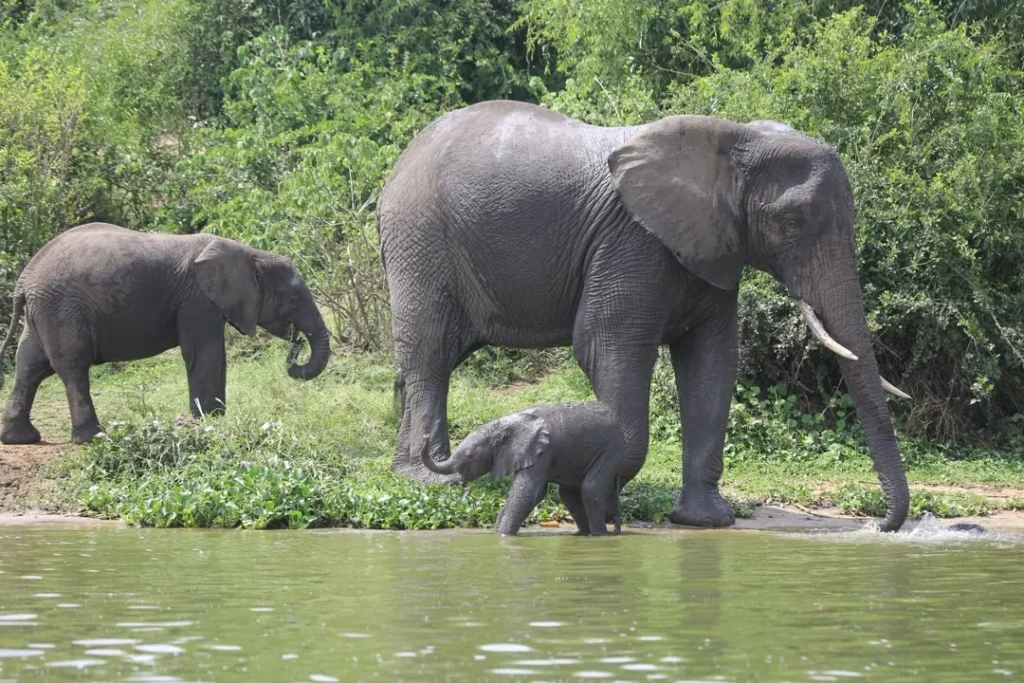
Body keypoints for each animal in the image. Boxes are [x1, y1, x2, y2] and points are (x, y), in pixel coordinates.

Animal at [0, 222, 330, 445]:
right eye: (292, 300)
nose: (296, 344)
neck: (251, 254)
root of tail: (25, 278)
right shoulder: (198, 299)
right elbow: (206, 353)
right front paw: (211, 421)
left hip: (45, 311)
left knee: (30, 365)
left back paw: (21, 438)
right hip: (63, 309)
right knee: (72, 366)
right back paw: (94, 438)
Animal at [420, 402, 625, 536]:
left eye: (469, 456)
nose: (426, 436)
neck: (504, 423)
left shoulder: (542, 450)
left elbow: (529, 491)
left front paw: (503, 535)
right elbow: (532, 493)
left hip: (611, 450)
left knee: (590, 488)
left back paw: (601, 535)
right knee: (567, 493)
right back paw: (585, 533)